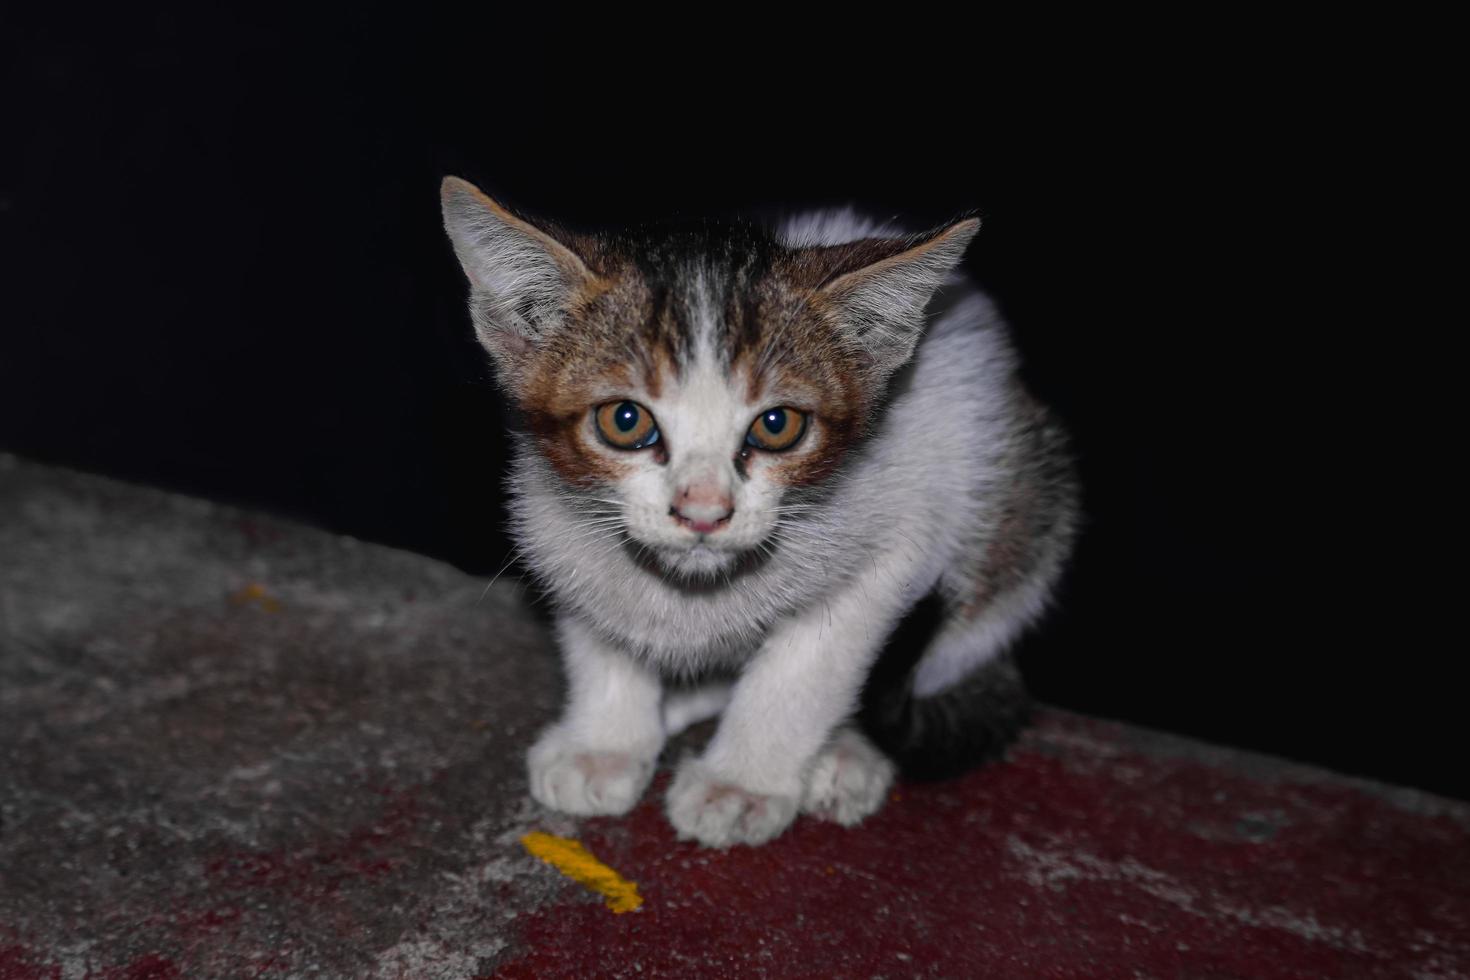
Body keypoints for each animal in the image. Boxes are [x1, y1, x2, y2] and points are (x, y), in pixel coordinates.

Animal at [438, 178, 1081, 852]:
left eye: (777, 425)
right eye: (625, 419)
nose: (703, 510)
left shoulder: (896, 542)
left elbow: (804, 669)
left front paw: (740, 782)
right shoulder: (551, 522)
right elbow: (599, 628)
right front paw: (605, 742)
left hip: (1021, 516)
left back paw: (842, 752)